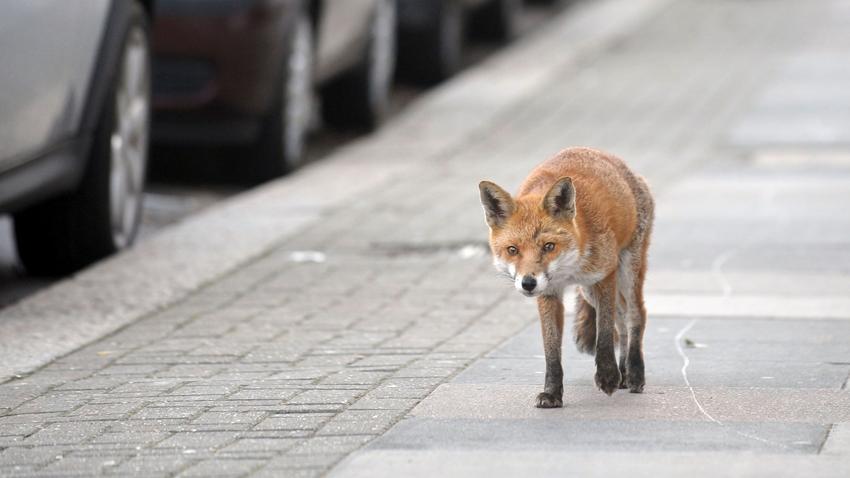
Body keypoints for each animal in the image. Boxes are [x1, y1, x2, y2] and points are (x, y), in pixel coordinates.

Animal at [476, 147, 656, 408]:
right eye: (513, 250)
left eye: (549, 246)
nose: (528, 283)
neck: (569, 268)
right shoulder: (549, 293)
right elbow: (551, 351)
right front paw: (552, 393)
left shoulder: (605, 275)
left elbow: (603, 334)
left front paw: (607, 376)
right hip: (590, 292)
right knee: (621, 321)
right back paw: (623, 371)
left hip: (626, 271)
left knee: (635, 315)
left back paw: (633, 373)